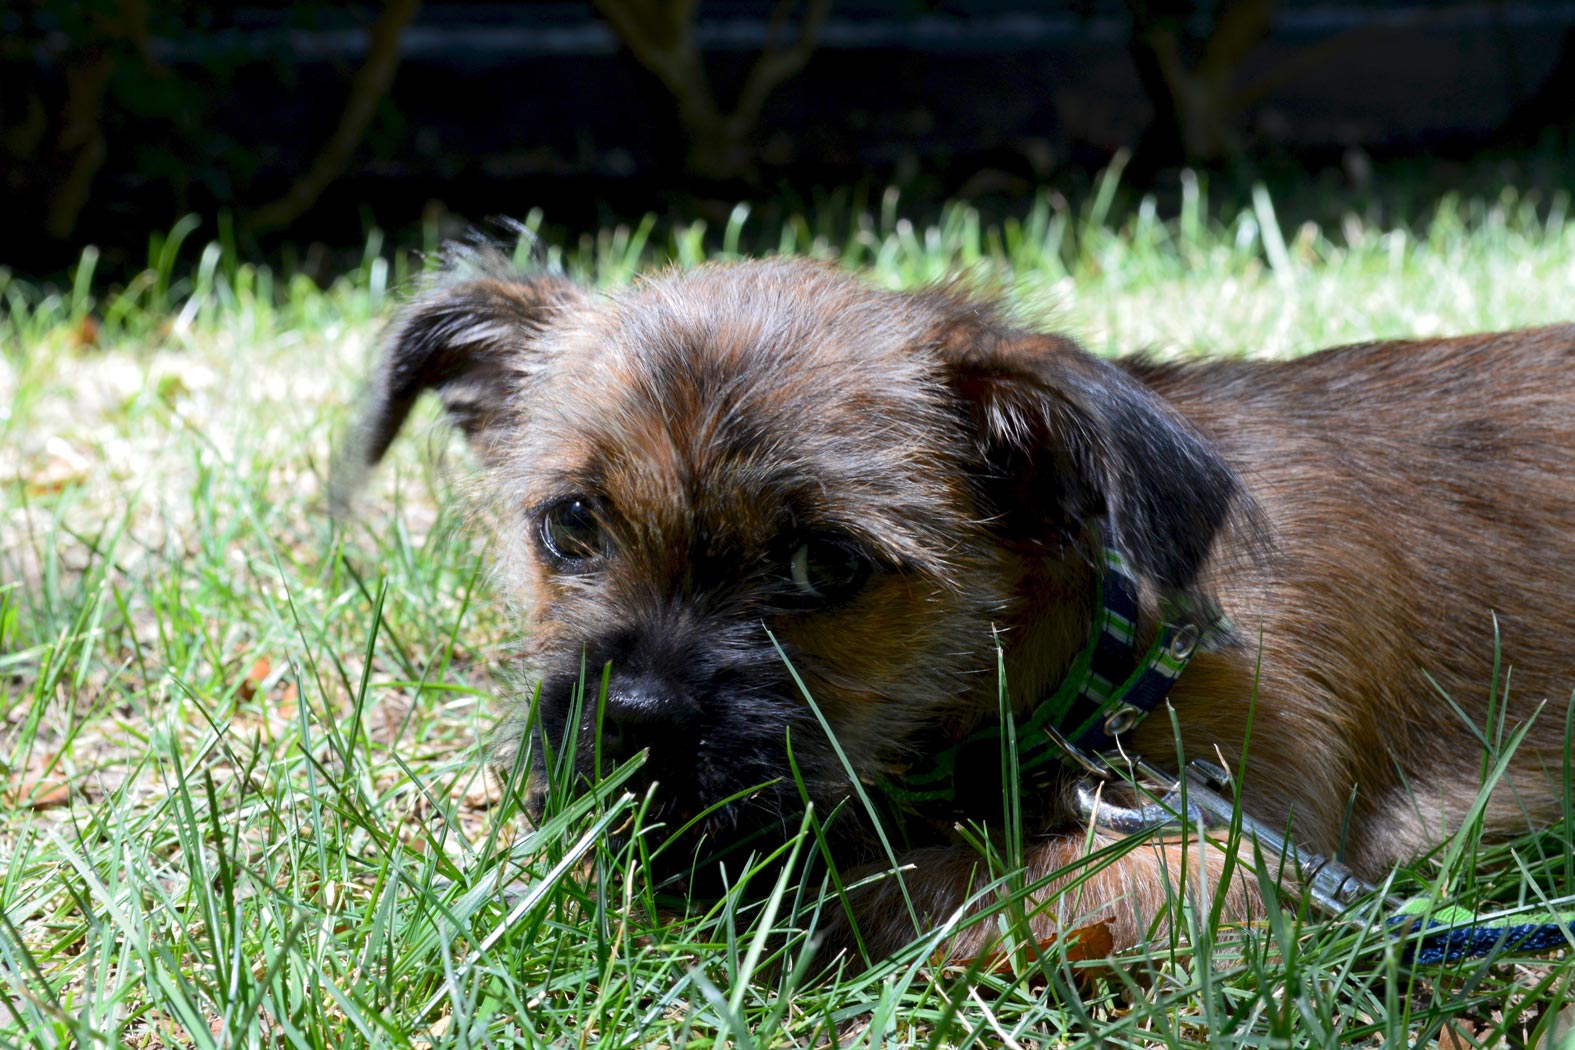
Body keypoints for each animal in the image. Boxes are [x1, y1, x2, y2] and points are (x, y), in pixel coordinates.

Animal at [345, 252, 1575, 962]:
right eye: (570, 526)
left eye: (825, 566)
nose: (634, 718)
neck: (1099, 655)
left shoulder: (1219, 858)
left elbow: (922, 889)